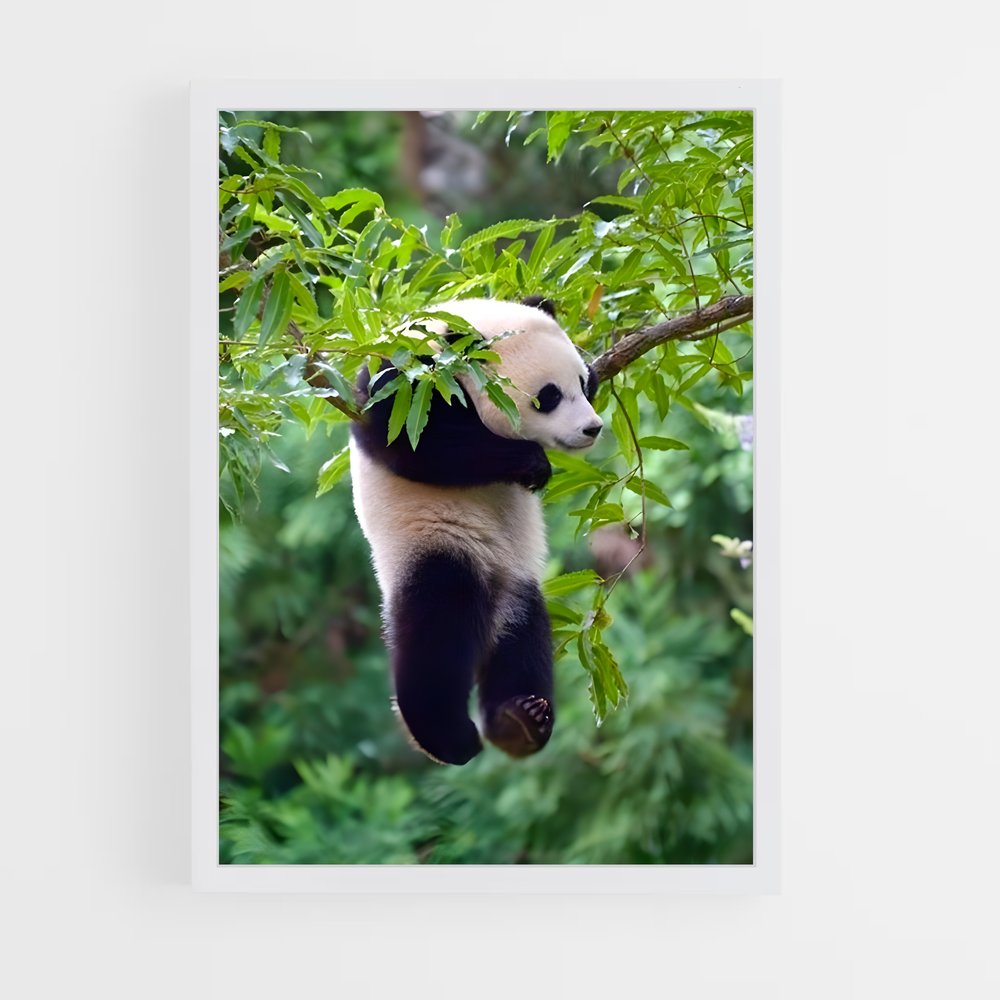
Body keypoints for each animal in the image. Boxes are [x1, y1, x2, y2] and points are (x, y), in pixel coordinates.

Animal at [349, 296, 602, 765]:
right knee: (436, 637)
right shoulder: (406, 382)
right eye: (549, 396)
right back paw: (450, 737)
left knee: (524, 644)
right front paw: (532, 464)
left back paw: (520, 721)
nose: (591, 428)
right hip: (435, 545)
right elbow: (416, 443)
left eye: (582, 382)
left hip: (519, 583)